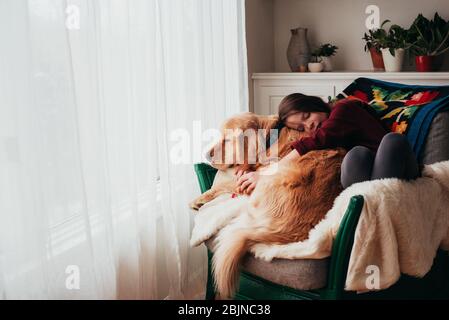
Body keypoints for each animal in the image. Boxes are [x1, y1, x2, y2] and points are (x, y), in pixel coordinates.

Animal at [187, 112, 344, 298]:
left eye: (228, 139)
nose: (206, 155)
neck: (269, 139)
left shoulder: (248, 177)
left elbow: (226, 185)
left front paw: (199, 199)